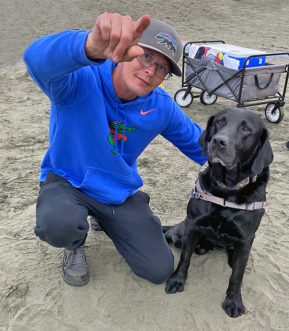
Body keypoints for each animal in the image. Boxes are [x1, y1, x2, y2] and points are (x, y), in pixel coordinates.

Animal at [164, 107, 272, 320]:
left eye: (246, 129)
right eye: (219, 122)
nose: (218, 141)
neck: (227, 189)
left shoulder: (246, 237)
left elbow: (237, 275)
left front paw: (234, 301)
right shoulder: (193, 224)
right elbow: (184, 259)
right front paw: (177, 281)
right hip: (181, 230)